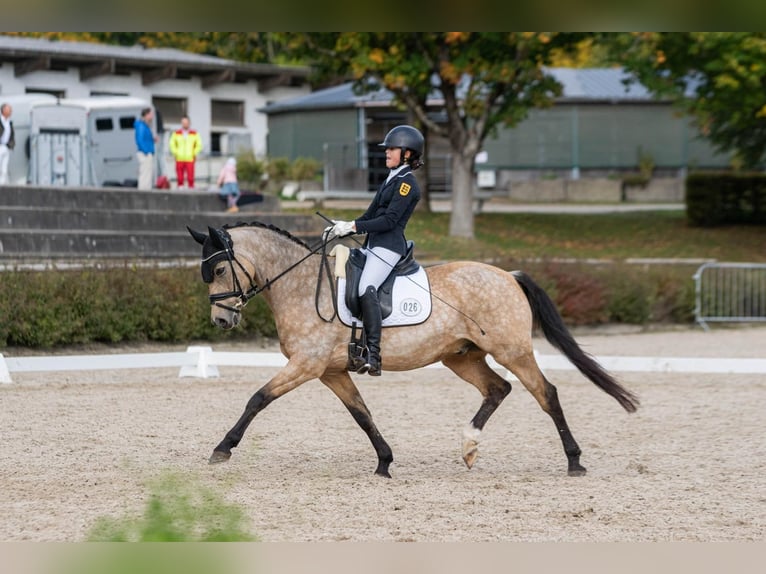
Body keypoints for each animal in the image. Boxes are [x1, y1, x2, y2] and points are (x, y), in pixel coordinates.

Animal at [189, 223, 640, 480]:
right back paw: (469, 448)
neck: (299, 284)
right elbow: (361, 414)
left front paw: (222, 449)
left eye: (221, 269)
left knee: (546, 394)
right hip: (461, 356)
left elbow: (257, 398)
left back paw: (574, 462)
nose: (221, 321)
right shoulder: (330, 370)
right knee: (498, 389)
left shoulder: (307, 364)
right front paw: (385, 462)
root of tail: (508, 275)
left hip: (512, 350)